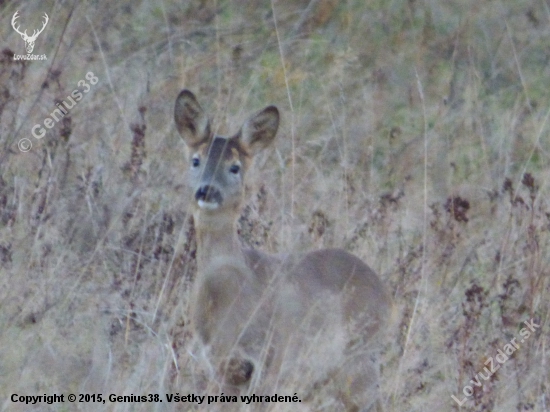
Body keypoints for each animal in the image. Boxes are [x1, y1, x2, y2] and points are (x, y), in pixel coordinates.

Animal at [175, 90, 394, 412]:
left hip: (360, 357)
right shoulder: (221, 365)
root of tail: (385, 291)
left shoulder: (272, 356)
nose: (207, 190)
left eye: (235, 167)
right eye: (195, 160)